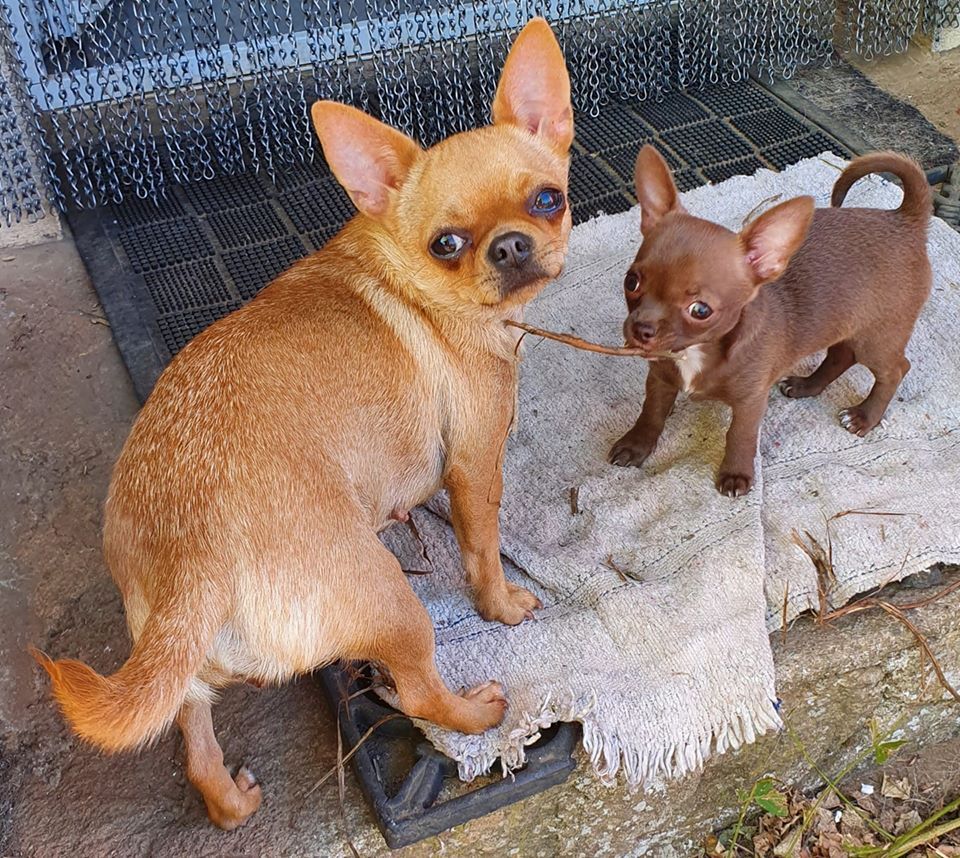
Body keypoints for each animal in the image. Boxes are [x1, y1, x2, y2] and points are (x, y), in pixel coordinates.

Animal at [33, 17, 573, 830]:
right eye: (446, 244)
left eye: (548, 199)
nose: (510, 245)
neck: (403, 273)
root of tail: (194, 554)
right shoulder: (477, 462)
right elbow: (482, 547)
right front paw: (503, 607)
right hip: (391, 597)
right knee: (418, 691)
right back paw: (477, 714)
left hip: (178, 665)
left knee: (192, 736)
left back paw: (229, 800)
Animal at [609, 145, 932, 496]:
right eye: (631, 282)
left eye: (700, 310)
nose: (641, 329)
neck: (696, 353)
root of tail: (903, 219)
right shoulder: (660, 379)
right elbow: (651, 412)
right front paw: (636, 444)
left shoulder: (751, 401)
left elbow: (740, 435)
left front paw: (736, 474)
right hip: (846, 324)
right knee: (840, 354)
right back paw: (806, 385)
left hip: (877, 337)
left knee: (894, 369)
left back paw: (864, 417)